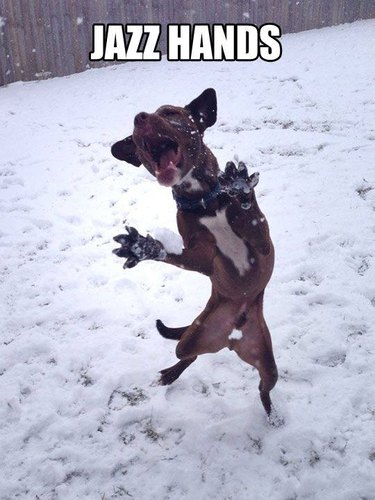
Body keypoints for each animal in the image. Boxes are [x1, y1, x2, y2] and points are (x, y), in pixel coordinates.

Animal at [111, 88, 280, 420]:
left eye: (170, 113)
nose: (139, 118)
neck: (203, 201)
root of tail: (232, 337)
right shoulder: (202, 259)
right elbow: (175, 253)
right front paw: (143, 246)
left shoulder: (263, 244)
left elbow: (251, 219)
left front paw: (240, 187)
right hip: (195, 336)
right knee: (188, 356)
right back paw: (170, 374)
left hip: (268, 364)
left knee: (262, 388)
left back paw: (272, 414)